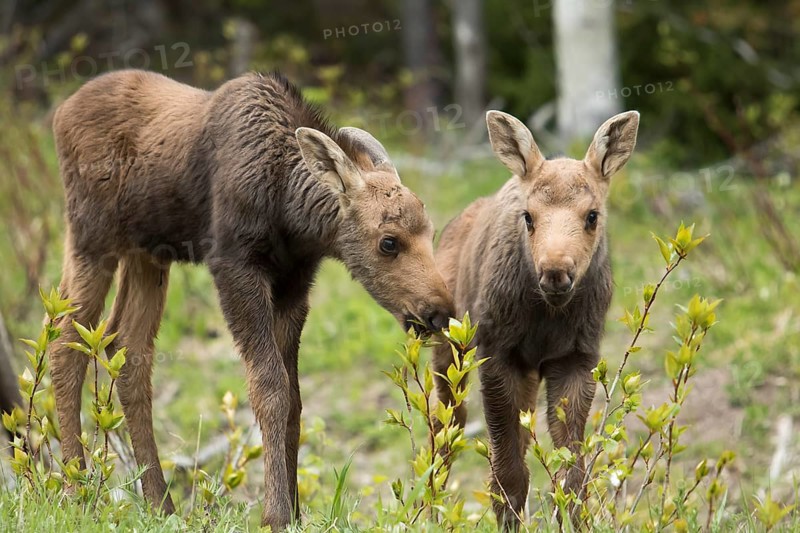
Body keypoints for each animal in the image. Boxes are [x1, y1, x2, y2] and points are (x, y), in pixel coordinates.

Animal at [49, 69, 454, 530]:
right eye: (389, 242)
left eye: (431, 231)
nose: (439, 312)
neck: (290, 211)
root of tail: (60, 113)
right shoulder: (234, 266)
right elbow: (270, 390)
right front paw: (274, 513)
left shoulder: (294, 285)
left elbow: (295, 399)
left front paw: (294, 509)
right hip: (90, 237)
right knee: (65, 341)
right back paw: (75, 490)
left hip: (148, 253)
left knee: (127, 348)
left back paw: (159, 502)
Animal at [433, 109, 639, 528]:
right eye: (528, 217)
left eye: (592, 215)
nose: (556, 271)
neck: (547, 318)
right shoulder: (497, 353)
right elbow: (507, 474)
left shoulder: (576, 357)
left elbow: (571, 474)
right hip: (448, 354)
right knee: (444, 430)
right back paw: (429, 509)